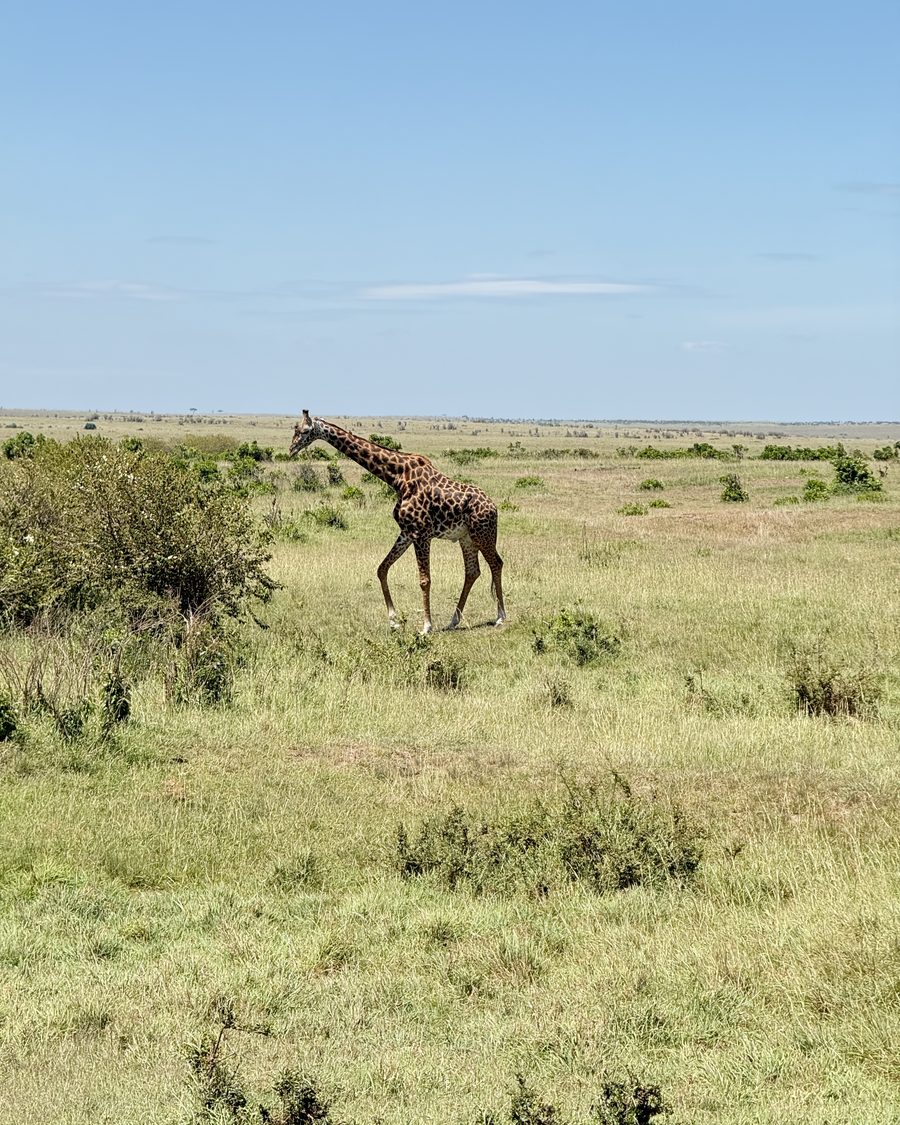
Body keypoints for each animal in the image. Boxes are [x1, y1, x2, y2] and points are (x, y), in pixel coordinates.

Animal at [289, 411, 506, 634]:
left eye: (304, 430)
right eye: (295, 428)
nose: (291, 448)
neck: (397, 478)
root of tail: (494, 507)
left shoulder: (421, 534)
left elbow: (424, 580)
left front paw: (426, 626)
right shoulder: (407, 532)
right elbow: (382, 569)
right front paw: (394, 621)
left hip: (483, 534)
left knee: (496, 563)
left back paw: (500, 617)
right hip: (466, 538)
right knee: (472, 571)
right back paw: (454, 620)